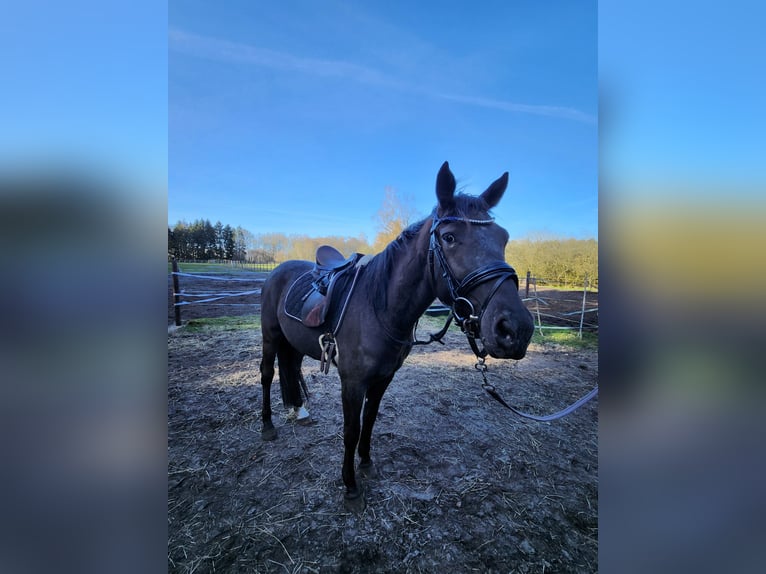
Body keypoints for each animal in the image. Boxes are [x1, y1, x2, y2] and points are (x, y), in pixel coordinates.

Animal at [259, 161, 535, 510]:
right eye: (449, 237)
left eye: (504, 238)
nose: (516, 329)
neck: (379, 306)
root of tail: (278, 271)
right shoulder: (352, 381)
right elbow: (352, 428)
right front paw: (350, 485)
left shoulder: (383, 377)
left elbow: (370, 421)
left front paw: (365, 463)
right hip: (270, 336)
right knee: (267, 373)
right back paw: (267, 426)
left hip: (293, 342)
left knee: (291, 367)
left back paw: (298, 410)